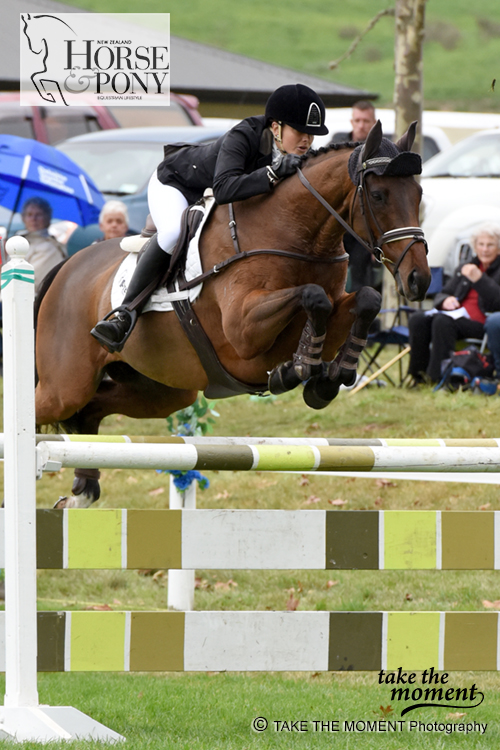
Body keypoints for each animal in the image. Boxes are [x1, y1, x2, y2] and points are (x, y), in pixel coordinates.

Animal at [34, 122, 430, 512]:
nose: (419, 279)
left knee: (90, 411)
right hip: (66, 385)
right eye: (378, 195)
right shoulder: (243, 332)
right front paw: (299, 369)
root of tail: (66, 266)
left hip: (161, 390)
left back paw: (83, 490)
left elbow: (365, 299)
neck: (295, 233)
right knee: (50, 409)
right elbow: (313, 297)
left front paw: (330, 378)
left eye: (419, 193)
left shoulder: (329, 311)